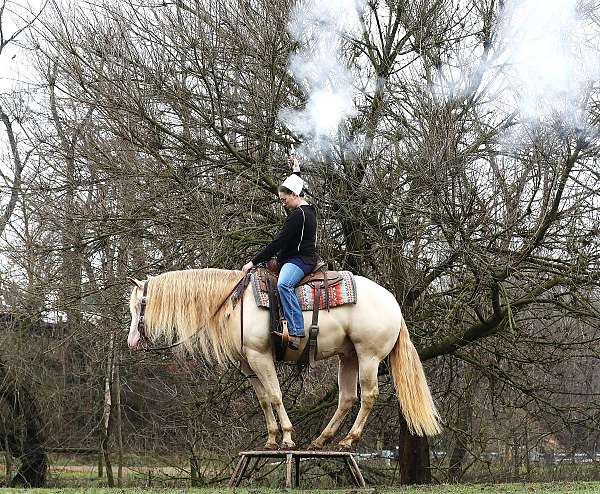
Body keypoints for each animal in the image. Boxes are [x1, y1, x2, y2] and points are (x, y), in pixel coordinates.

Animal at [126, 268, 440, 450]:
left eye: (140, 305)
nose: (131, 342)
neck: (235, 304)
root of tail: (393, 302)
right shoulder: (248, 364)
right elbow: (264, 399)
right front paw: (270, 439)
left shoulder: (261, 356)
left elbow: (276, 395)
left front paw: (287, 437)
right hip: (348, 356)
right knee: (347, 398)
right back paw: (321, 441)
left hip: (368, 356)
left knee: (369, 395)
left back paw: (348, 441)